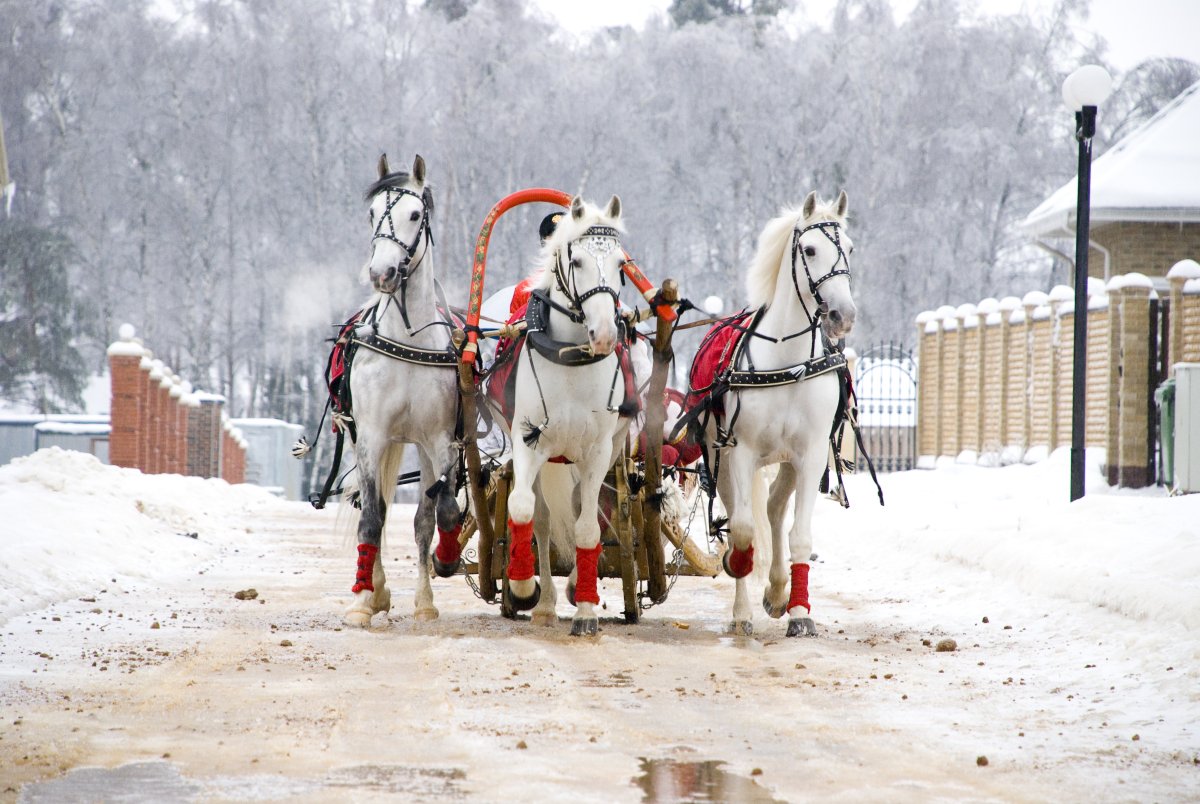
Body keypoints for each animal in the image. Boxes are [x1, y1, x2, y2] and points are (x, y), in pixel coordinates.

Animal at [340, 153, 464, 627]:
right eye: (372, 213)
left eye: (414, 214)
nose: (382, 273)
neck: (408, 341)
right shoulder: (372, 437)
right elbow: (372, 519)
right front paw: (362, 601)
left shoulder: (439, 441)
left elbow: (437, 515)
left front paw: (432, 589)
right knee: (372, 506)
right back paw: (373, 589)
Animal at [502, 194, 634, 636]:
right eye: (576, 262)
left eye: (621, 265)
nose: (606, 334)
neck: (571, 358)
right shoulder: (528, 441)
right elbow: (522, 508)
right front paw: (522, 586)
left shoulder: (598, 451)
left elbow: (588, 527)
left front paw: (587, 610)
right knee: (541, 519)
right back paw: (542, 602)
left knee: (581, 510)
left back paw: (577, 587)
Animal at [682, 191, 857, 637]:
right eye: (809, 249)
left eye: (849, 248)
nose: (843, 316)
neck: (788, 364)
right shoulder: (740, 452)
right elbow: (743, 531)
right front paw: (741, 601)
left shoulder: (810, 454)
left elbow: (800, 536)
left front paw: (799, 611)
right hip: (722, 459)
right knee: (744, 515)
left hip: (788, 460)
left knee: (776, 511)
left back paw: (778, 591)